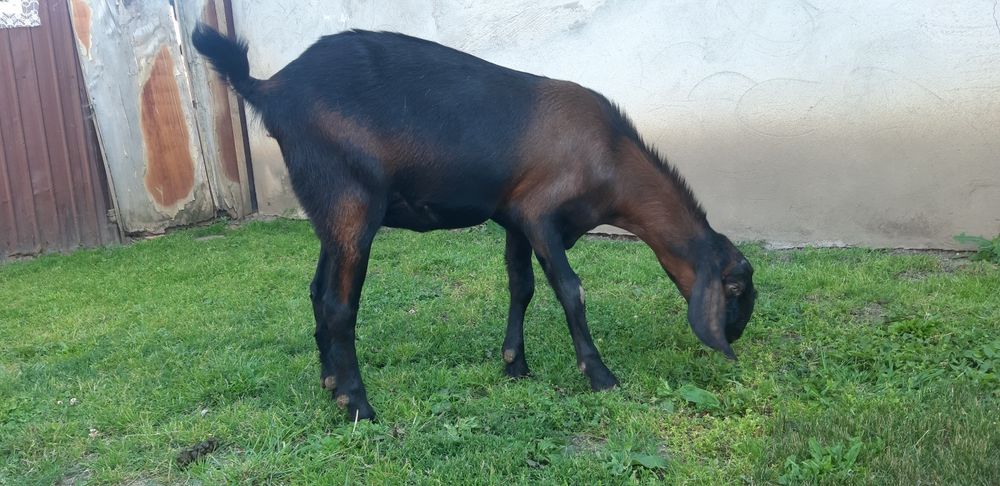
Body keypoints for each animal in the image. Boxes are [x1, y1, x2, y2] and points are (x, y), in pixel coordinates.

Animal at [192, 25, 756, 421]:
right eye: (734, 289)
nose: (736, 334)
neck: (611, 157)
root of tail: (269, 87)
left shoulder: (514, 218)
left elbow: (521, 286)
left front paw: (515, 365)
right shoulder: (541, 214)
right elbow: (570, 289)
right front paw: (599, 374)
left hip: (329, 210)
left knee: (315, 290)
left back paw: (331, 384)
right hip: (351, 200)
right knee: (337, 303)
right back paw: (358, 404)